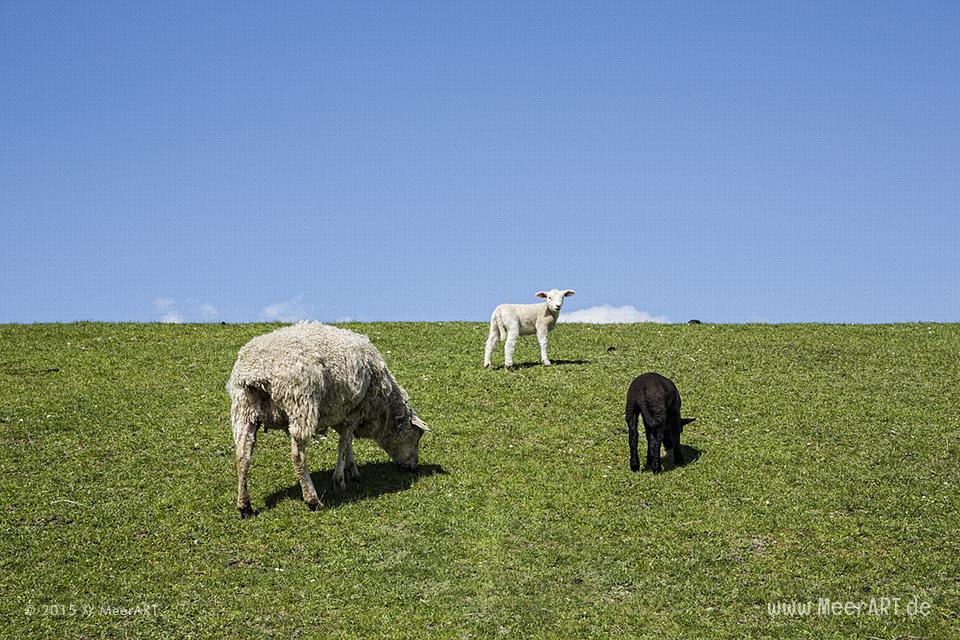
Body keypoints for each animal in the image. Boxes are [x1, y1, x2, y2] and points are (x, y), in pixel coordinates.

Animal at [227, 322, 430, 516]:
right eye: (417, 436)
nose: (414, 467)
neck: (383, 408)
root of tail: (256, 373)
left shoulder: (341, 412)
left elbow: (347, 443)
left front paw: (352, 470)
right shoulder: (354, 412)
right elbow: (343, 445)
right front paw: (340, 479)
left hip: (243, 411)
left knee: (242, 456)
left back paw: (244, 506)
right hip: (301, 406)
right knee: (298, 457)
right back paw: (312, 499)